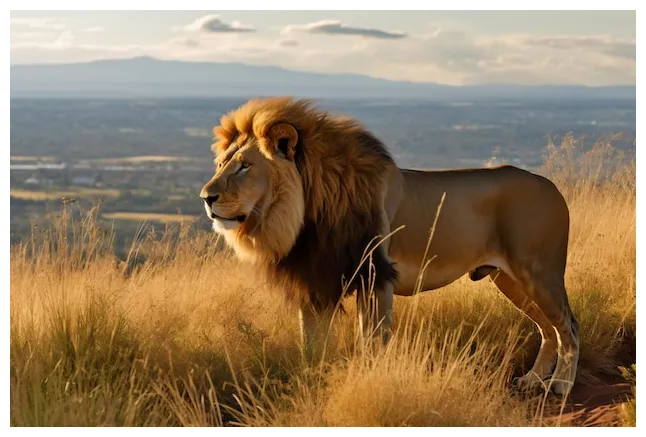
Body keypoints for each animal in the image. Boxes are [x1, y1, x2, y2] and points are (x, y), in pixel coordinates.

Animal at [199, 97, 580, 397]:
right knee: (547, 329)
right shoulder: (316, 283)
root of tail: (552, 186)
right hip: (509, 279)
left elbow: (372, 344)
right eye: (220, 164)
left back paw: (560, 384)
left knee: (568, 326)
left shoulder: (376, 278)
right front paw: (311, 387)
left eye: (245, 166)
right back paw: (532, 380)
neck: (306, 214)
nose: (206, 197)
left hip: (539, 273)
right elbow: (311, 348)